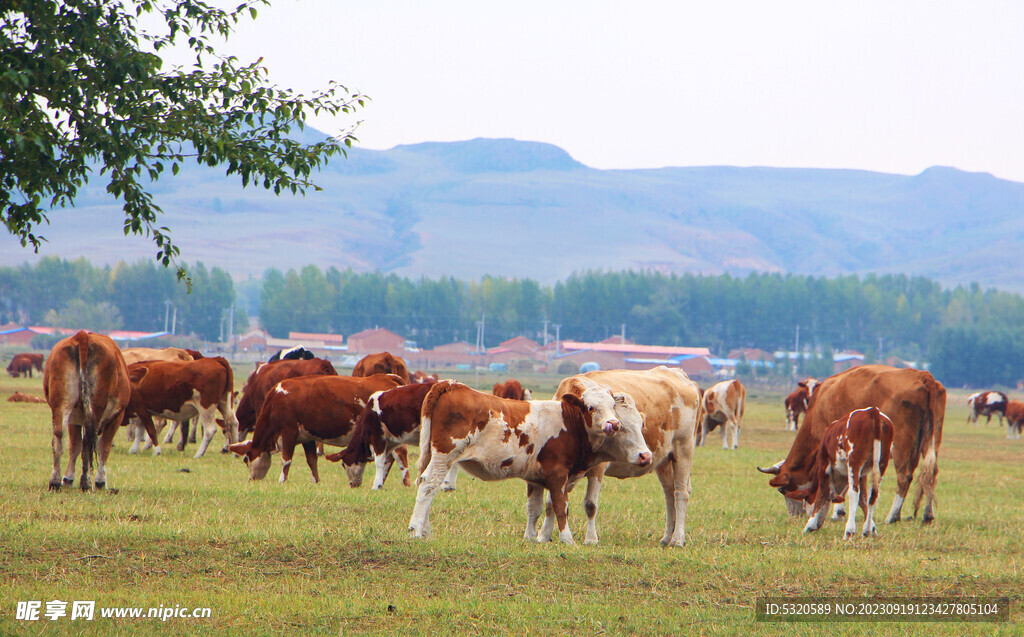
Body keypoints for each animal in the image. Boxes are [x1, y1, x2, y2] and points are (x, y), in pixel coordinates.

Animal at [44, 331, 137, 491]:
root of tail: (82, 336)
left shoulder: (74, 420)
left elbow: (74, 446)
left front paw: (68, 478)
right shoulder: (117, 416)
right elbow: (104, 447)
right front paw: (101, 481)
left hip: (62, 405)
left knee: (58, 438)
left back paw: (55, 481)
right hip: (96, 408)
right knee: (88, 441)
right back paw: (86, 482)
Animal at [226, 374, 401, 483]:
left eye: (246, 459)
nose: (251, 479)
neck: (276, 400)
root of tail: (388, 377)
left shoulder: (289, 432)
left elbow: (286, 460)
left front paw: (282, 480)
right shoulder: (307, 437)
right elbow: (312, 460)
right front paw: (315, 481)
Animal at [407, 378, 647, 544]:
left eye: (612, 406)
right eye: (591, 407)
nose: (613, 424)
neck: (569, 423)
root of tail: (451, 385)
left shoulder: (536, 477)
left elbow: (535, 508)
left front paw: (531, 538)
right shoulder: (558, 475)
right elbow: (561, 507)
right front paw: (567, 539)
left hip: (432, 454)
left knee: (426, 484)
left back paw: (425, 531)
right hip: (444, 455)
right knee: (429, 485)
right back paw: (416, 530)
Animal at [782, 409, 897, 540]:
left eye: (806, 504)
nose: (818, 525)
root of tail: (872, 411)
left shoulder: (824, 465)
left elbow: (821, 494)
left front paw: (809, 525)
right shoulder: (862, 475)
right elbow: (863, 499)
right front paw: (872, 529)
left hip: (854, 461)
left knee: (854, 493)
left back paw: (849, 531)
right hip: (882, 462)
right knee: (873, 495)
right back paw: (866, 530)